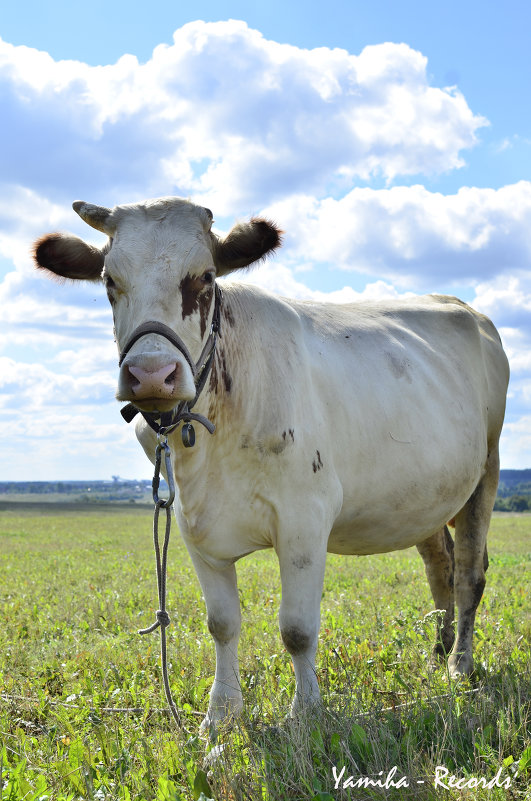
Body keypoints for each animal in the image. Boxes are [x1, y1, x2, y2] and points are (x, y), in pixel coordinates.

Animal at [34, 195, 512, 732]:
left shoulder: (306, 519)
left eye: (205, 277)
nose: (152, 374)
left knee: (469, 572)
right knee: (440, 567)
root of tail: (462, 306)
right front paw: (221, 715)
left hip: (486, 470)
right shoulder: (192, 525)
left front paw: (305, 715)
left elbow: (298, 629)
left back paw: (459, 666)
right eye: (109, 281)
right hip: (422, 494)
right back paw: (436, 655)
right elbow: (221, 624)